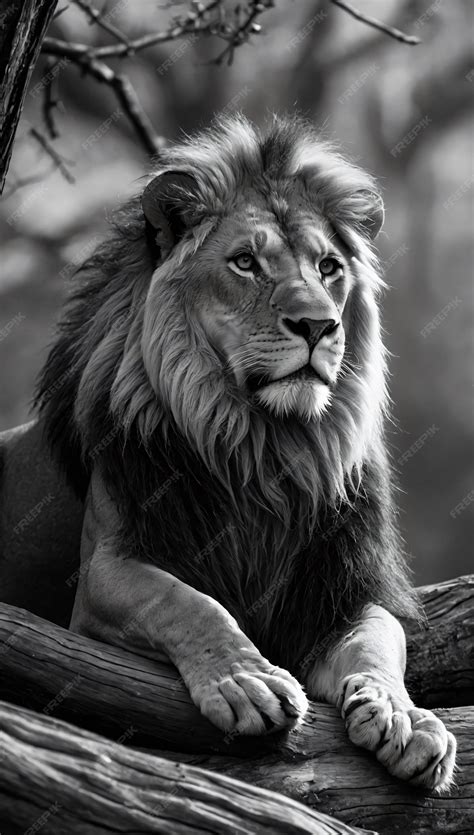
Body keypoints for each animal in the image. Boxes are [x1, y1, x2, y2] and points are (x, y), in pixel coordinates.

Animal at [0, 115, 456, 791]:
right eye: (245, 262)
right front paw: (247, 681)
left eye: (328, 267)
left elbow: (380, 641)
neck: (265, 448)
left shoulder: (339, 594)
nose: (319, 326)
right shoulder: (104, 575)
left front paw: (405, 717)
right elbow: (185, 601)